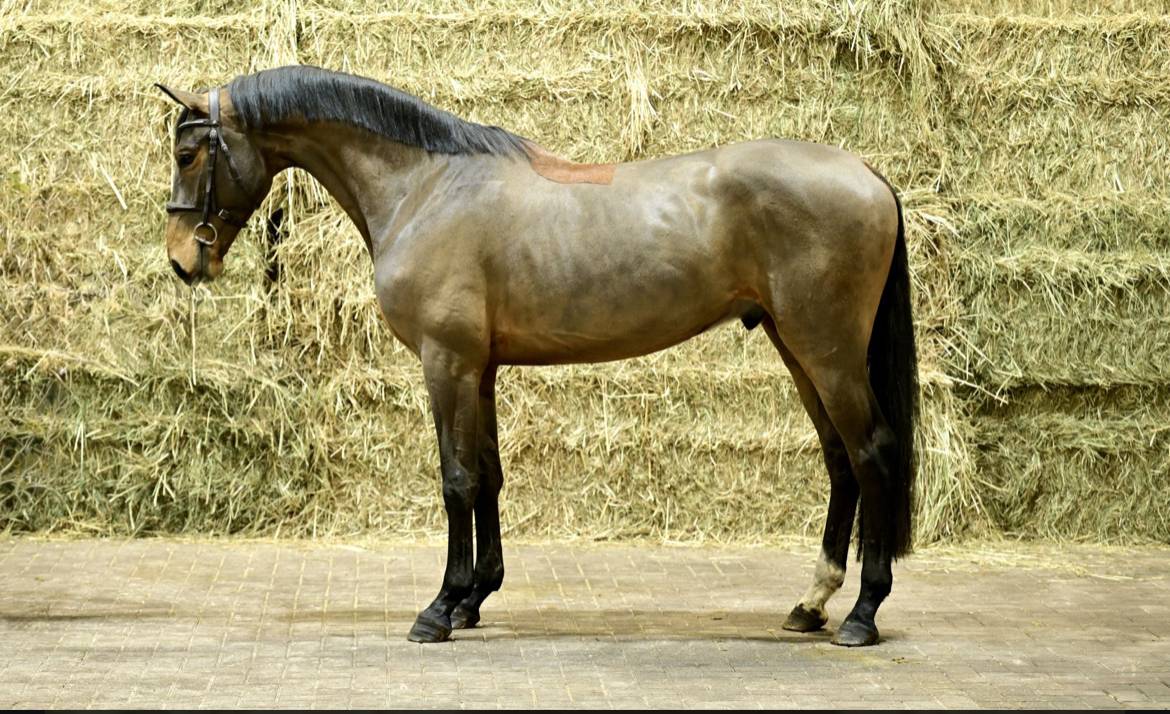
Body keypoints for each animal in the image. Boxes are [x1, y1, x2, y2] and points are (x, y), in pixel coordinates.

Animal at [157, 65, 918, 647]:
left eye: (188, 155)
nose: (183, 261)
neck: (426, 187)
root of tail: (868, 173)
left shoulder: (447, 362)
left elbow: (457, 479)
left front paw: (439, 609)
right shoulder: (481, 369)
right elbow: (488, 476)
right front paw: (474, 599)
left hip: (828, 351)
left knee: (873, 452)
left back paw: (862, 613)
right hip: (798, 347)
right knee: (840, 460)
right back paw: (812, 604)